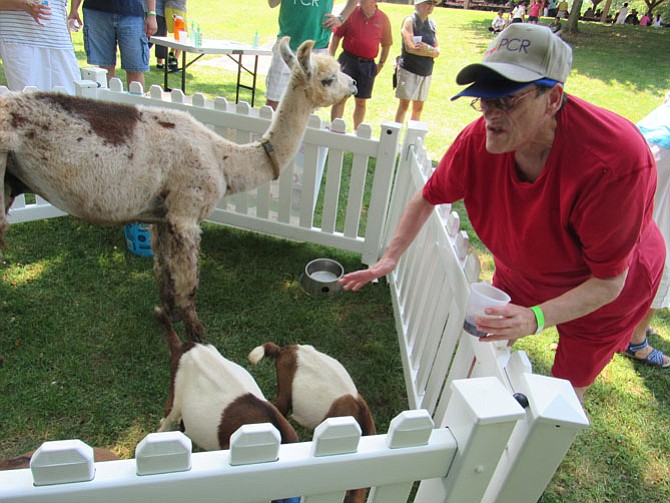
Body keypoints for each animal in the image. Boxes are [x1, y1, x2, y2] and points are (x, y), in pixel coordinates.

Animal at [0, 36, 360, 342]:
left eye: (340, 71)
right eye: (328, 79)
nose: (355, 83)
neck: (223, 158)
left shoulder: (161, 215)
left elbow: (164, 274)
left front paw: (166, 315)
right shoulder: (186, 212)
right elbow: (189, 283)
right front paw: (197, 336)